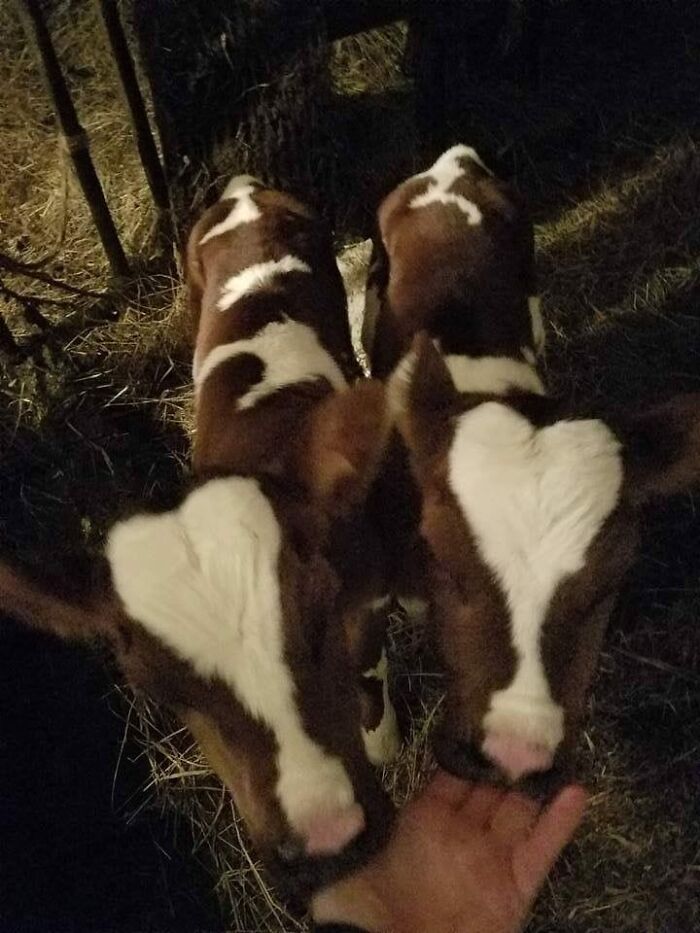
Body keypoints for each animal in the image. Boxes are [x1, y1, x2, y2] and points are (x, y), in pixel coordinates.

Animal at [0, 177, 400, 898]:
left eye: (320, 615)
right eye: (160, 690)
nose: (327, 843)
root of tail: (243, 188)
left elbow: (370, 672)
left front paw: (387, 742)